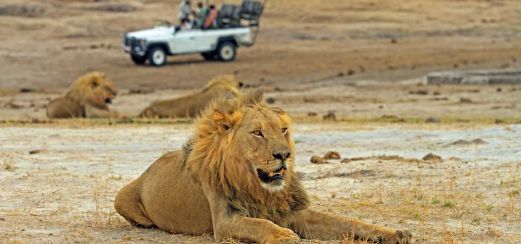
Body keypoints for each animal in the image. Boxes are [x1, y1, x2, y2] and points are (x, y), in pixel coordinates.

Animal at [115, 90, 410, 243]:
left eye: (283, 129)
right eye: (257, 133)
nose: (284, 154)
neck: (258, 188)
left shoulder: (294, 212)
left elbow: (347, 221)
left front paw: (393, 232)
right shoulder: (224, 221)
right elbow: (261, 225)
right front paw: (287, 237)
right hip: (120, 198)